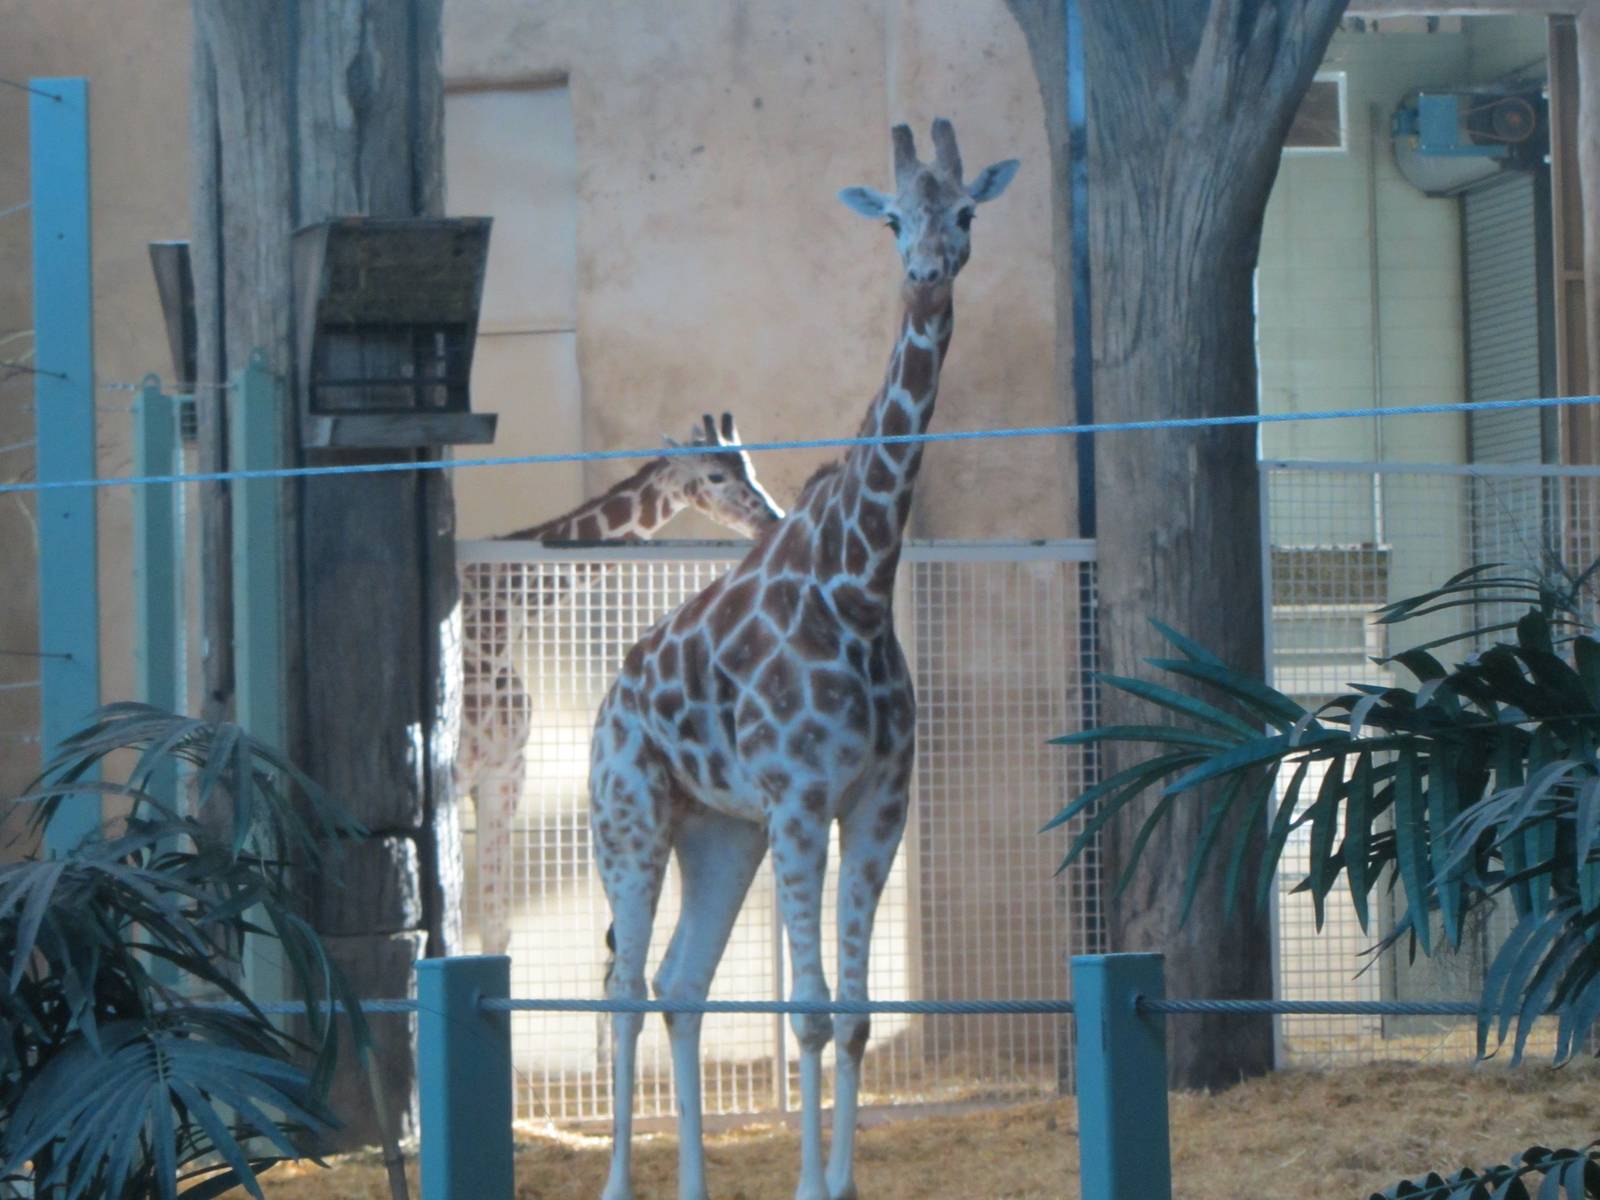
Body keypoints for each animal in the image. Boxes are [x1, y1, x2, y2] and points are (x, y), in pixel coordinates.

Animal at [456, 412, 782, 958]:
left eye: (751, 466)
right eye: (715, 476)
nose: (774, 520)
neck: (498, 627)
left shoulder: (504, 772)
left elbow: (497, 931)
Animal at [588, 120, 1018, 1200]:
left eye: (966, 212)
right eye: (893, 219)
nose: (927, 279)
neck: (857, 583)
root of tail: (611, 698)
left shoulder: (873, 805)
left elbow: (855, 1019)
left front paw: (841, 1184)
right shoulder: (798, 801)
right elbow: (812, 1013)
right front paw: (809, 1186)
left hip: (718, 833)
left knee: (680, 984)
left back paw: (694, 1186)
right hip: (630, 817)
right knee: (623, 986)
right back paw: (617, 1184)